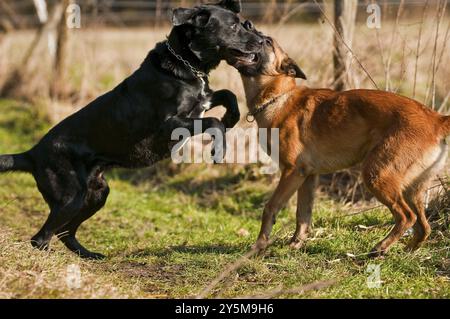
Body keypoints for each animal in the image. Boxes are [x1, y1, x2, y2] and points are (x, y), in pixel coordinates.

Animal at [0, 0, 262, 258]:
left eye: (243, 23)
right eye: (233, 26)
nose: (261, 41)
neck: (186, 64)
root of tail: (32, 153)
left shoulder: (203, 101)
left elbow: (227, 95)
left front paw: (231, 118)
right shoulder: (170, 124)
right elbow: (213, 121)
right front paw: (219, 149)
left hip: (96, 193)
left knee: (65, 232)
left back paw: (90, 254)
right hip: (70, 196)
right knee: (41, 237)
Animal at [236, 37, 450, 258]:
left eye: (267, 41)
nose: (247, 30)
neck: (278, 97)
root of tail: (436, 119)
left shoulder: (292, 172)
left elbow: (270, 207)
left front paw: (258, 246)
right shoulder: (307, 176)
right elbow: (303, 214)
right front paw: (296, 244)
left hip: (376, 175)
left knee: (407, 216)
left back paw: (381, 247)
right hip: (412, 187)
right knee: (423, 226)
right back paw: (405, 251)